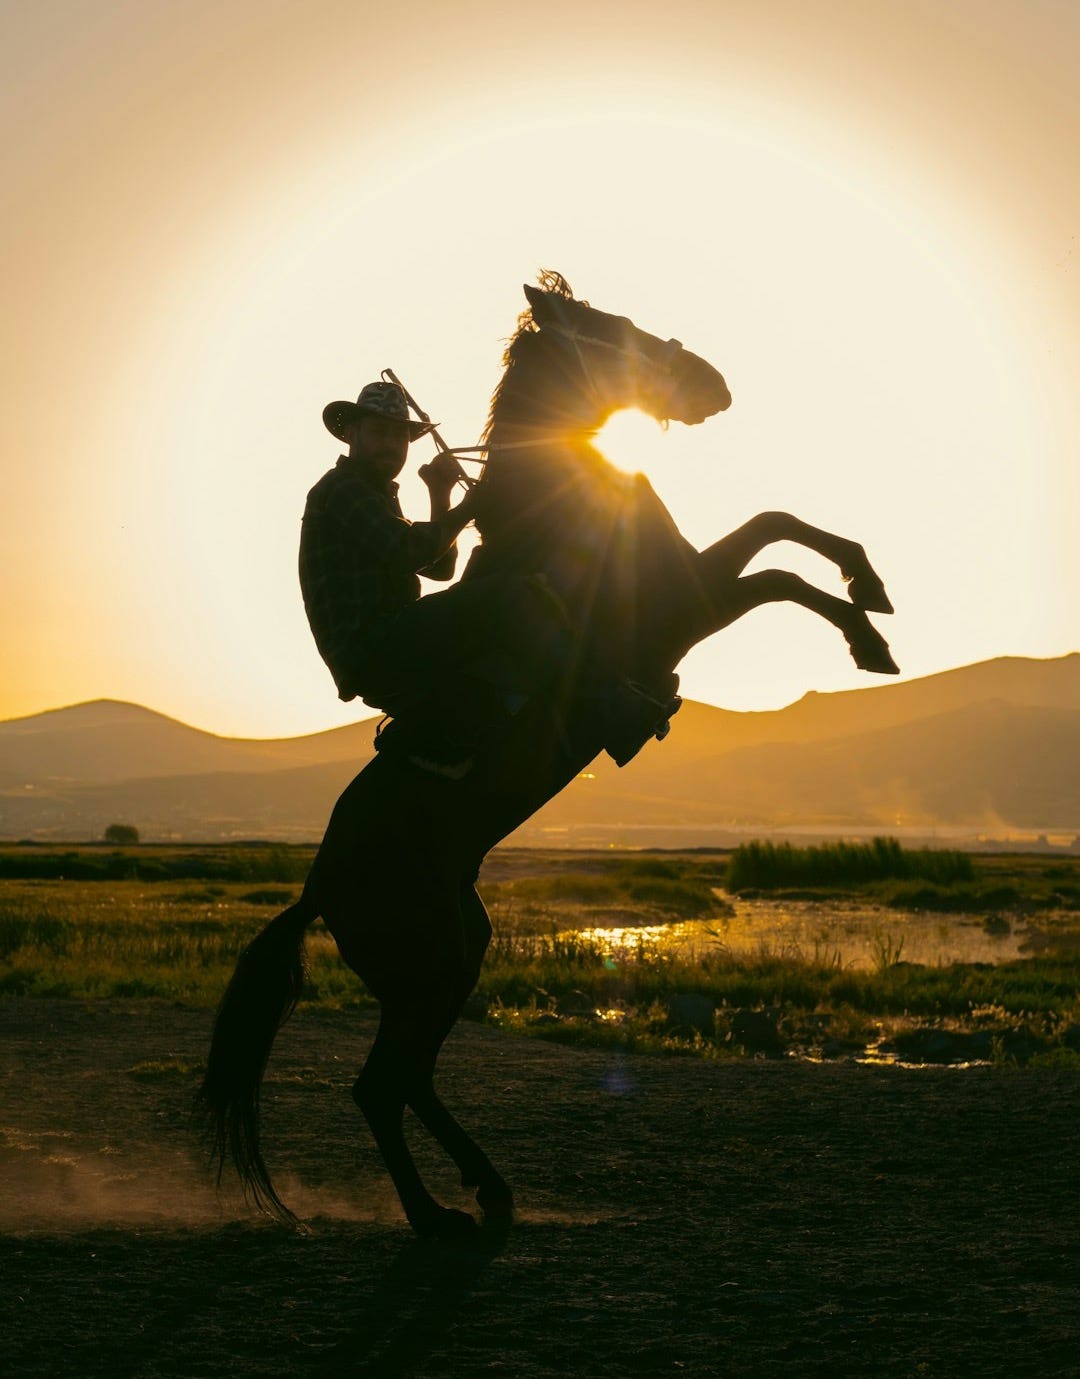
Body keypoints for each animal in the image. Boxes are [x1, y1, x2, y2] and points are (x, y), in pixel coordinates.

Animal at [196, 271, 898, 1238]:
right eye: (614, 328)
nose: (714, 384)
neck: (565, 506)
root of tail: (317, 888)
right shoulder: (687, 603)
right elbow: (779, 572)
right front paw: (868, 637)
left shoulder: (696, 581)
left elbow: (776, 522)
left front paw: (872, 586)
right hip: (430, 961)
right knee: (379, 1086)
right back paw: (437, 1217)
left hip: (457, 954)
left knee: (407, 1078)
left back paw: (486, 1188)